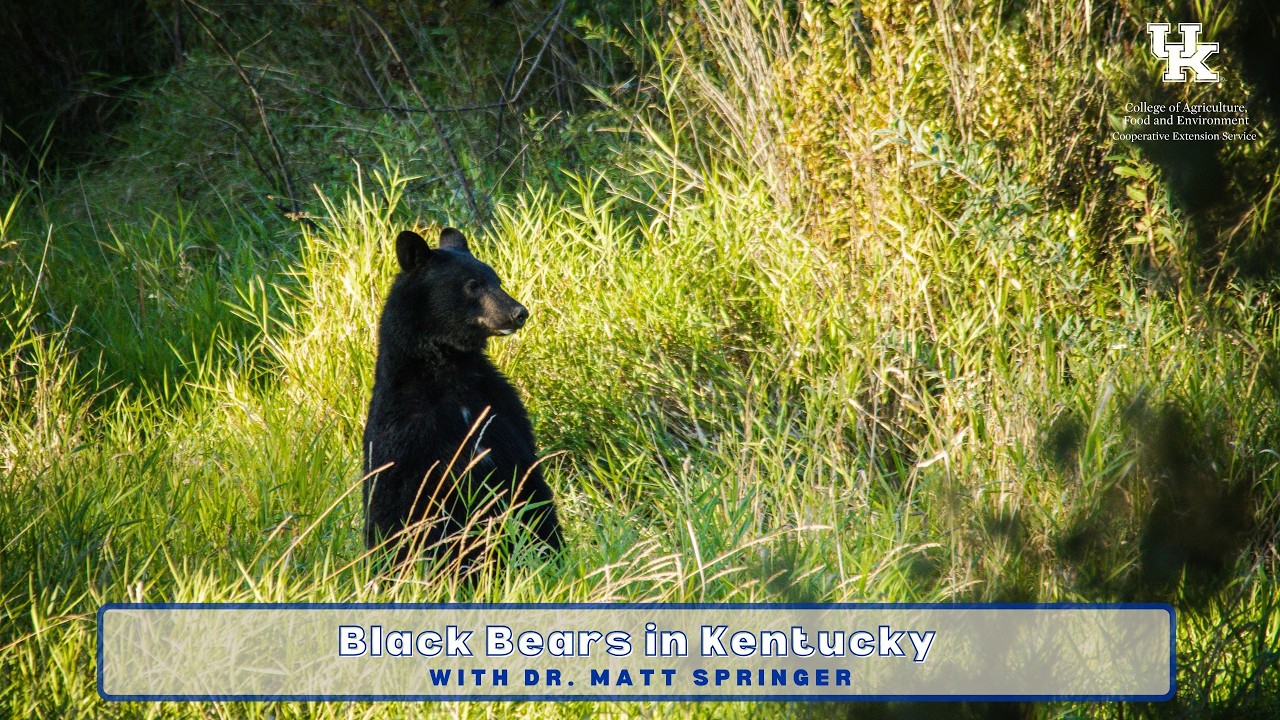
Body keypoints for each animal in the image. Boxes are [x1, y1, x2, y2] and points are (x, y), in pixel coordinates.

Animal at [361, 227, 563, 567]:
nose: (519, 312)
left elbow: (528, 485)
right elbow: (408, 503)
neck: (450, 371)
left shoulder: (501, 409)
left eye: (497, 279)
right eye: (472, 285)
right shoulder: (410, 431)